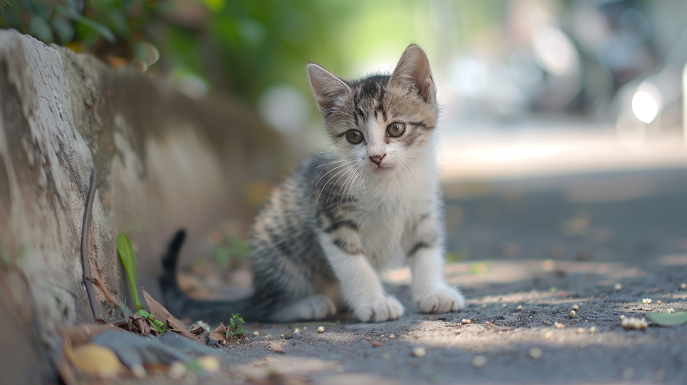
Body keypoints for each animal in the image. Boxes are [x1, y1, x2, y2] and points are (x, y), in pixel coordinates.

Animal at [159, 44, 464, 320]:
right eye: (354, 136)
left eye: (396, 128)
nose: (376, 157)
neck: (390, 185)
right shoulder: (329, 214)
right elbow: (354, 265)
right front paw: (374, 303)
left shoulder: (421, 211)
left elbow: (426, 251)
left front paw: (433, 293)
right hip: (282, 253)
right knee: (264, 309)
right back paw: (308, 305)